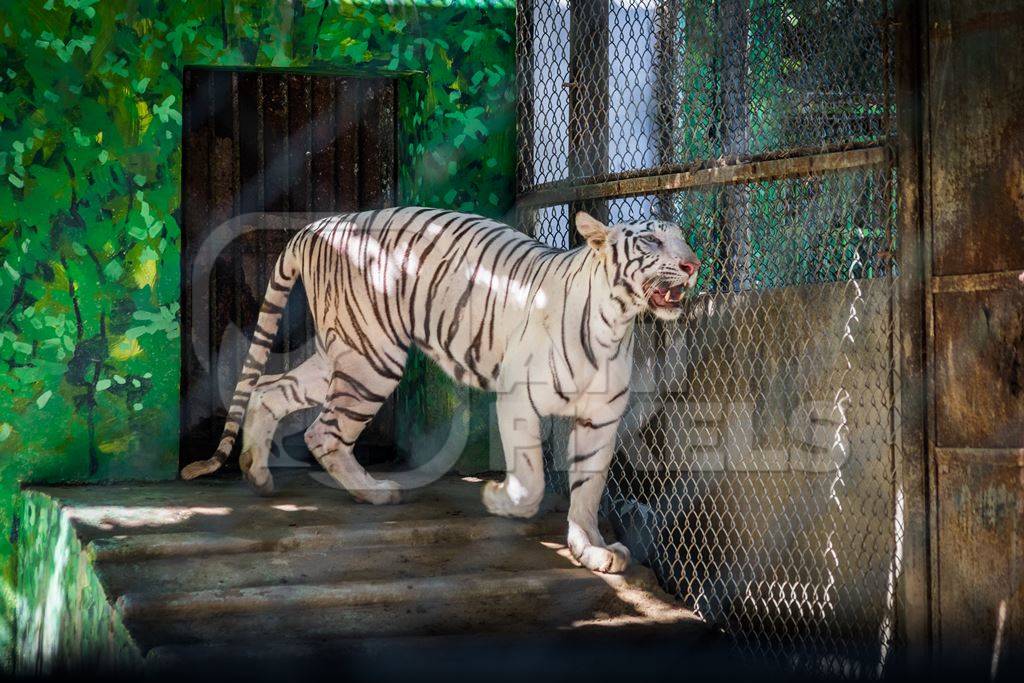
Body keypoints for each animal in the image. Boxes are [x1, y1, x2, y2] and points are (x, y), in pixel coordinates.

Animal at [182, 206, 696, 573]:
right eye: (652, 239)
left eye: (683, 236)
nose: (692, 264)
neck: (617, 322)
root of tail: (314, 227)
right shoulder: (518, 399)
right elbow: (531, 481)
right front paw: (497, 499)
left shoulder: (600, 418)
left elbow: (589, 489)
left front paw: (591, 548)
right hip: (372, 358)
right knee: (322, 432)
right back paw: (375, 493)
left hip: (341, 352)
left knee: (270, 390)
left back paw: (257, 474)